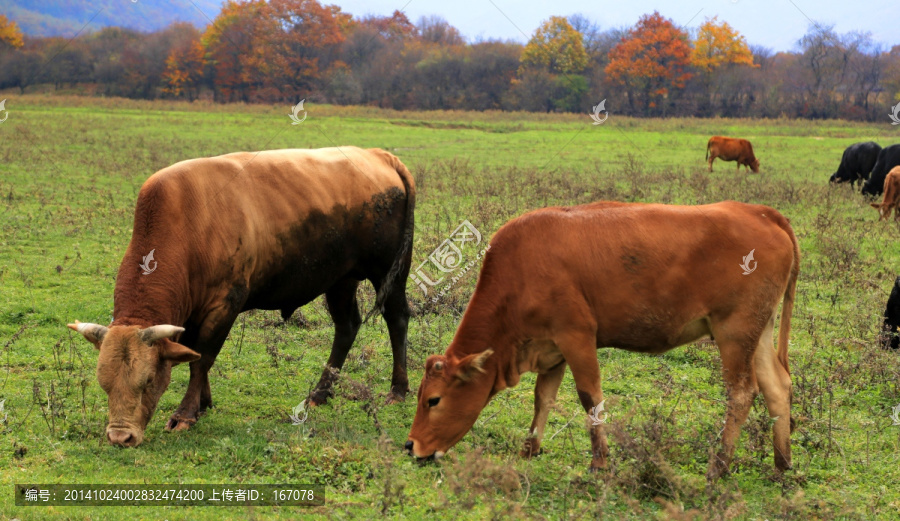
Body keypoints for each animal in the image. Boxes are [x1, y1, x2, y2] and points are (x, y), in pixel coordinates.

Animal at [69, 147, 414, 446]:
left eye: (150, 380)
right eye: (104, 383)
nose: (120, 436)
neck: (189, 223)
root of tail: (377, 154)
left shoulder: (226, 303)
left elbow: (202, 358)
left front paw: (186, 412)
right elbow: (192, 353)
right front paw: (203, 403)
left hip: (389, 273)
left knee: (397, 319)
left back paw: (398, 390)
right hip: (341, 278)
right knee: (347, 327)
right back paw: (320, 393)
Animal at [404, 199, 800, 480]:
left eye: (433, 400)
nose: (411, 446)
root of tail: (761, 213)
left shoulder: (576, 337)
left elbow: (590, 398)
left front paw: (600, 462)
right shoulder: (552, 349)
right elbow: (543, 398)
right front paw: (530, 449)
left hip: (734, 331)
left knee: (742, 392)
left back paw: (719, 465)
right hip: (758, 331)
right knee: (777, 386)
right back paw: (782, 463)